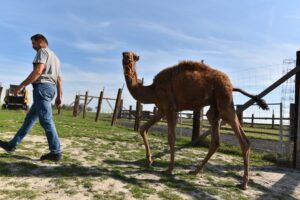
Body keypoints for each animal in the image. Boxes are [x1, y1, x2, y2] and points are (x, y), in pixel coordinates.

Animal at [122, 51, 270, 189]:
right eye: (124, 54)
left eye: (133, 56)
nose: (127, 59)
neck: (152, 90)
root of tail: (231, 85)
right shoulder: (161, 109)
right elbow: (143, 129)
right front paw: (149, 161)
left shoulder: (169, 107)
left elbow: (171, 138)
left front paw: (169, 169)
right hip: (215, 107)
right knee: (215, 138)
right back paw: (196, 171)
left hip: (225, 100)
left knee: (243, 141)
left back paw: (244, 183)